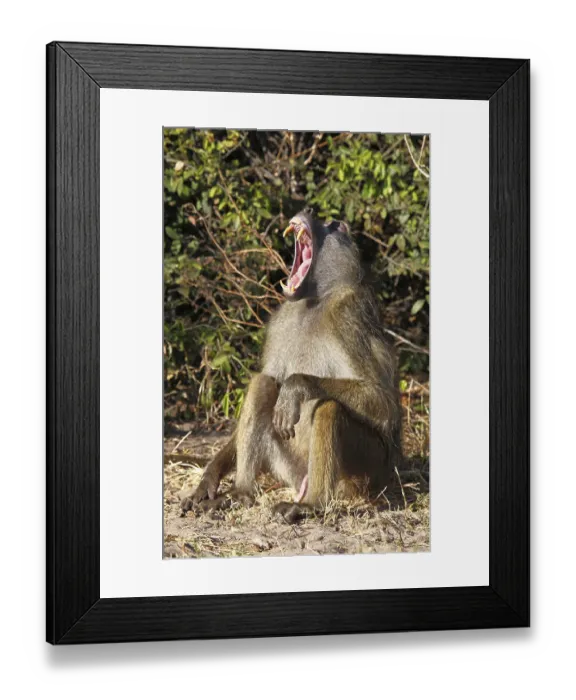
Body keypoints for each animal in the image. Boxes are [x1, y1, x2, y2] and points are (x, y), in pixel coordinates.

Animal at [181, 209, 402, 523]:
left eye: (336, 226)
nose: (307, 211)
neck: (314, 301)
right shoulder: (280, 323)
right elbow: (271, 380)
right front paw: (209, 479)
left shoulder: (349, 316)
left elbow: (383, 402)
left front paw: (296, 386)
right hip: (290, 468)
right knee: (263, 384)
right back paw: (240, 494)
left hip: (367, 473)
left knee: (330, 409)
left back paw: (310, 505)